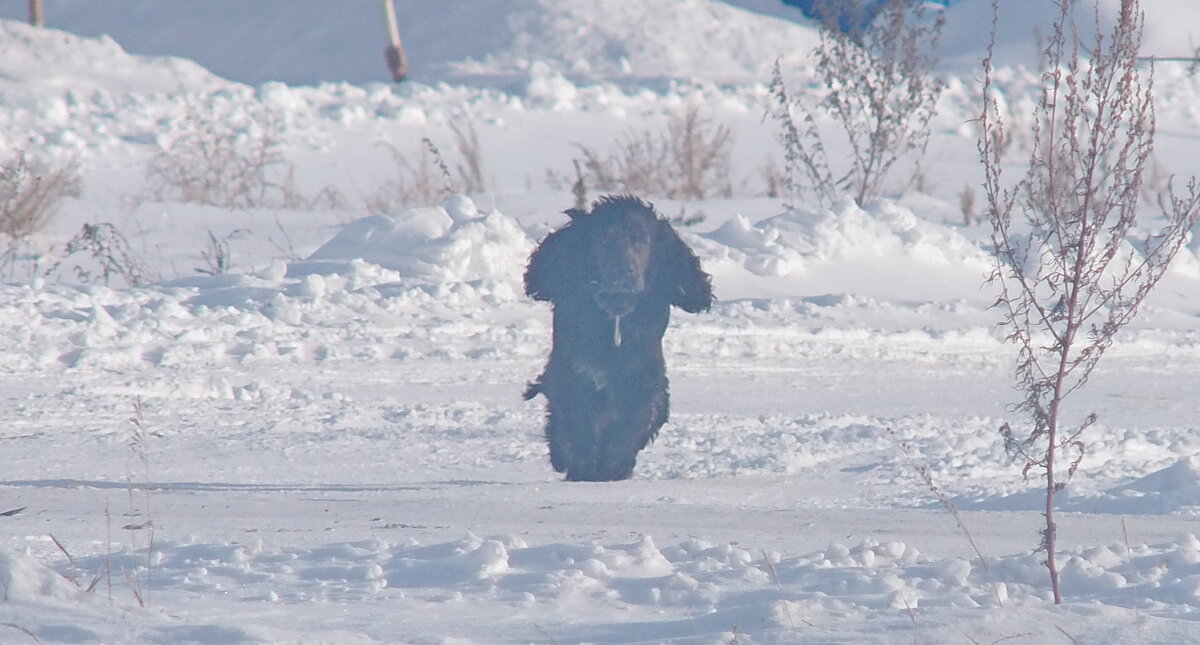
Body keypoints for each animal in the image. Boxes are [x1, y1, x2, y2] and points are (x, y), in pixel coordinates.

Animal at [523, 193, 710, 479]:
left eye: (641, 240)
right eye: (604, 240)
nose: (623, 271)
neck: (616, 313)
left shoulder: (640, 380)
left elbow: (626, 429)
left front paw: (612, 466)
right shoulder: (576, 375)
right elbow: (580, 424)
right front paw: (583, 466)